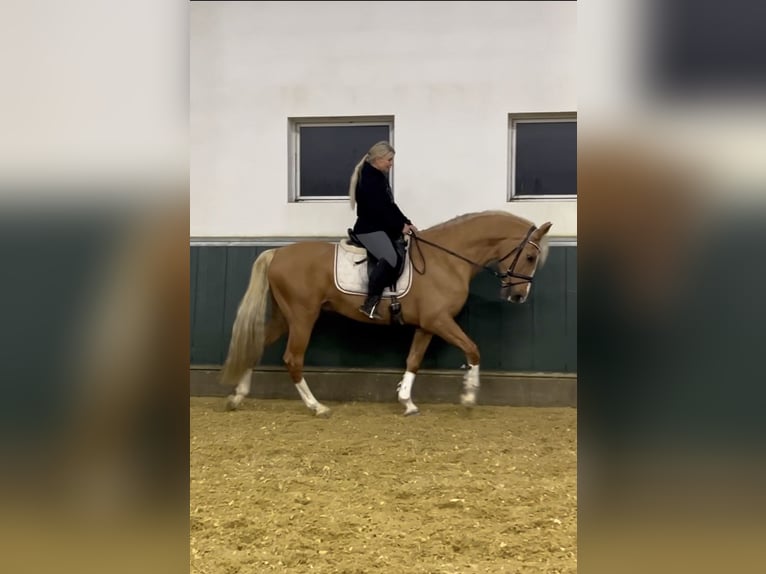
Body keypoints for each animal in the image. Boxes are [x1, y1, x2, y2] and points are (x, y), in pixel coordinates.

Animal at [220, 210, 552, 415]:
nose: (518, 296)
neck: (446, 260)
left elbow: (413, 360)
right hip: (303, 317)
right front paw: (469, 398)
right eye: (530, 256)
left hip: (284, 317)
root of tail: (277, 252)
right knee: (293, 358)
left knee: (257, 347)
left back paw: (237, 397)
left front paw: (407, 403)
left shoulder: (428, 325)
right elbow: (473, 350)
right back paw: (317, 407)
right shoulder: (440, 321)